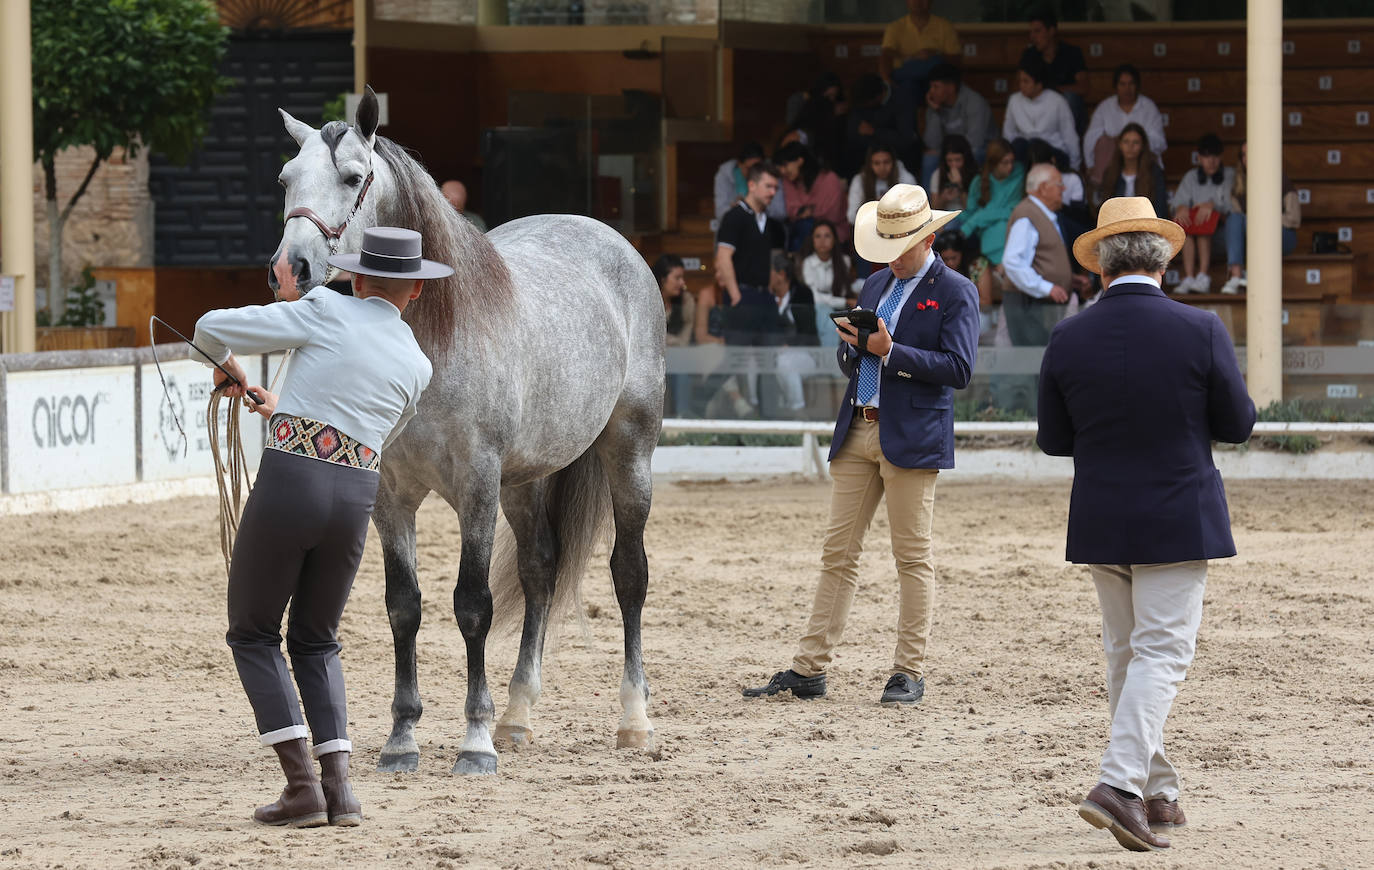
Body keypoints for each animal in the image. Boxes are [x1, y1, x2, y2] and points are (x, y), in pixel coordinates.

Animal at [266, 90, 665, 775]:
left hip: (628, 450)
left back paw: (632, 720)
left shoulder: (476, 486)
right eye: (287, 178)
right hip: (526, 480)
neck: (434, 335)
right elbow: (404, 606)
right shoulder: (392, 495)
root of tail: (612, 241)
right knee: (539, 570)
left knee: (628, 574)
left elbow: (472, 605)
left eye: (351, 177)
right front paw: (402, 738)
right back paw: (517, 715)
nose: (291, 271)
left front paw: (474, 742)